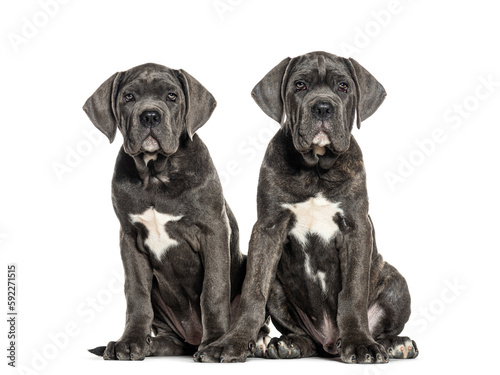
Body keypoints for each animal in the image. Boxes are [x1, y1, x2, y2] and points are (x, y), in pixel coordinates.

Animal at [84, 64, 254, 362]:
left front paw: (215, 343)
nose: (150, 115)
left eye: (172, 96)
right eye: (129, 97)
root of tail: (192, 338)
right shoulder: (129, 238)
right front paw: (130, 342)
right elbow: (136, 294)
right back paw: (153, 345)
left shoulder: (213, 231)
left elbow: (214, 290)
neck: (155, 174)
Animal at [195, 52, 418, 364]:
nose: (323, 107)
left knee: (383, 326)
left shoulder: (356, 228)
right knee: (301, 334)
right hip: (279, 288)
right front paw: (232, 342)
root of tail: (330, 342)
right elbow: (253, 290)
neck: (315, 169)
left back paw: (396, 343)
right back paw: (288, 344)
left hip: (396, 283)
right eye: (300, 85)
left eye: (343, 87)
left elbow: (353, 291)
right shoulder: (268, 228)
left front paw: (360, 343)